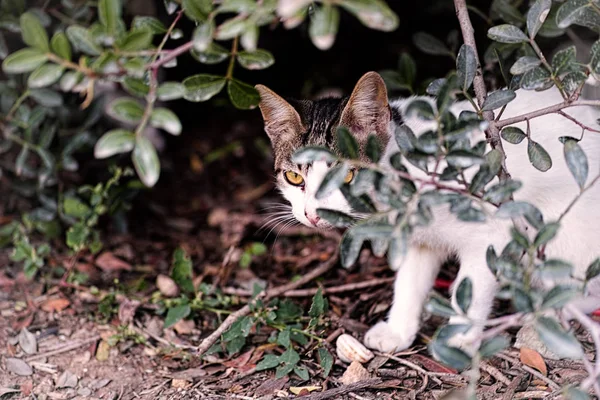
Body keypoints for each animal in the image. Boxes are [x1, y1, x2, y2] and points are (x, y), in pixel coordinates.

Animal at [253, 72, 600, 354]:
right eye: (293, 178)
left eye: (348, 175)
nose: (312, 214)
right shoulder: (418, 240)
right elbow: (409, 282)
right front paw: (398, 331)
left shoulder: (492, 232)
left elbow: (472, 287)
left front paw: (458, 339)